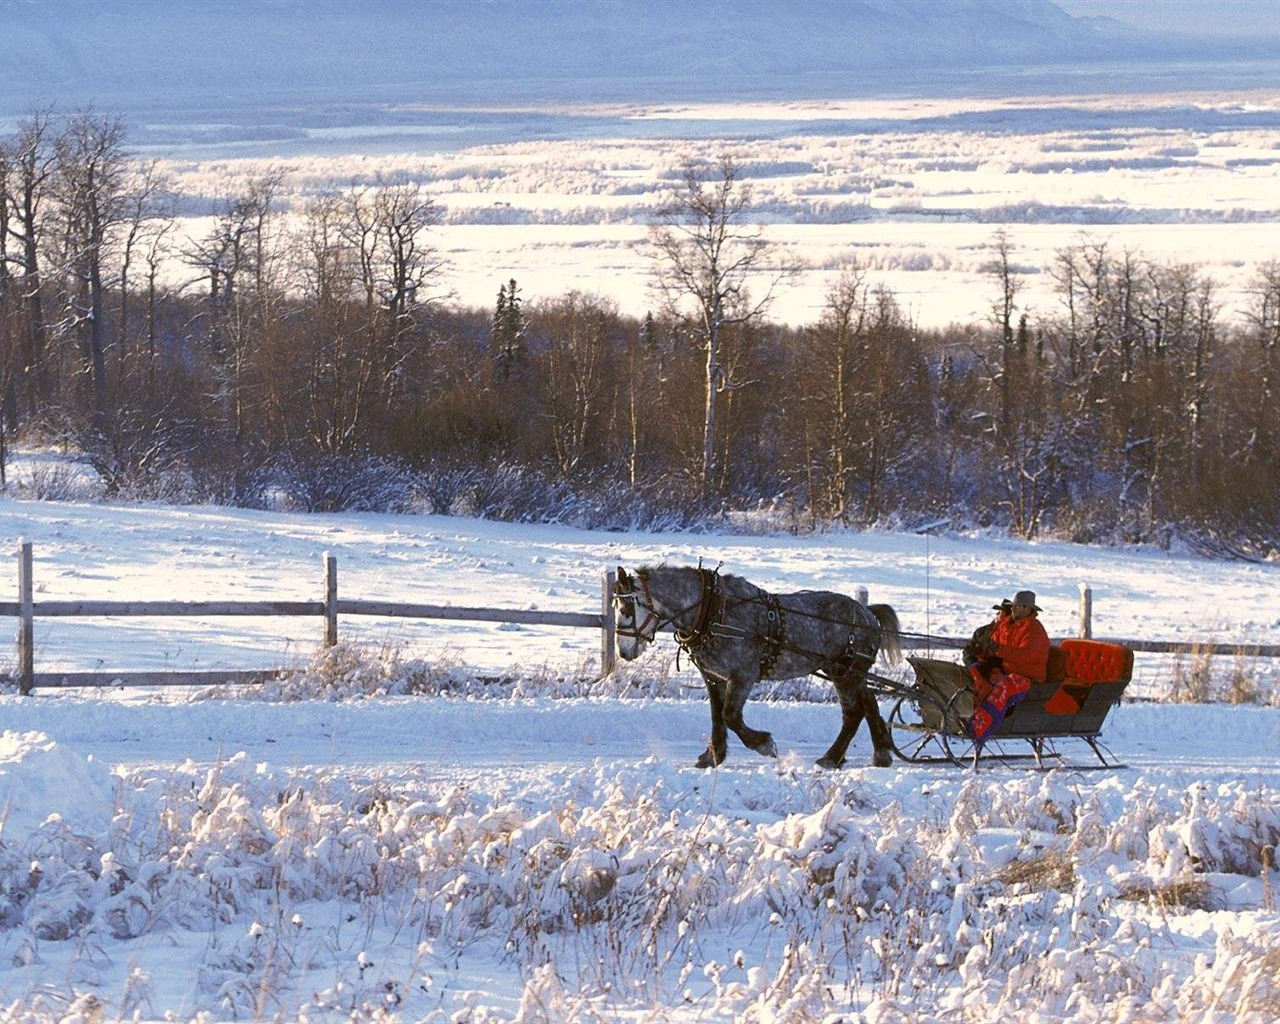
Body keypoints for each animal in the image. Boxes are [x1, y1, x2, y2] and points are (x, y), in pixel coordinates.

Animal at [616, 568, 901, 768]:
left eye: (627, 607)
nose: (623, 652)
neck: (714, 611)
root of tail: (867, 613)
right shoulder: (713, 677)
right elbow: (717, 716)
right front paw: (713, 756)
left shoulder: (743, 675)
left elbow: (730, 715)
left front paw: (764, 744)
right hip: (847, 672)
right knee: (868, 702)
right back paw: (880, 753)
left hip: (845, 671)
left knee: (854, 711)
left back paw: (831, 758)